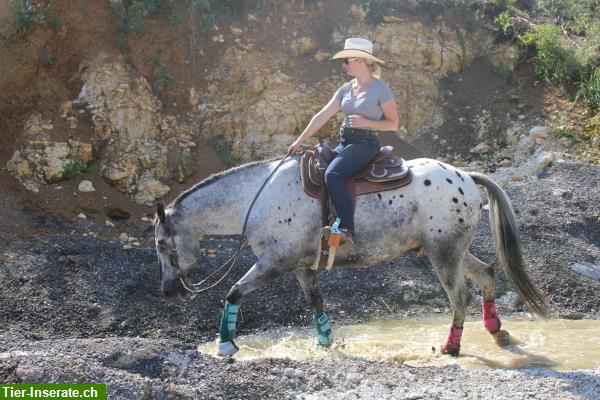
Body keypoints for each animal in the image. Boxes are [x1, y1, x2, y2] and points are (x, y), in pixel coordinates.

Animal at [155, 155, 548, 356]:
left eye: (161, 244)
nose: (168, 291)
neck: (258, 198)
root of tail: (466, 177)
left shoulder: (275, 263)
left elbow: (234, 291)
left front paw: (225, 343)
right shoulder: (302, 267)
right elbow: (315, 303)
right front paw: (325, 343)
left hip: (444, 253)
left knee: (459, 296)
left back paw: (451, 347)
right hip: (455, 250)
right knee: (487, 274)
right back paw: (497, 332)